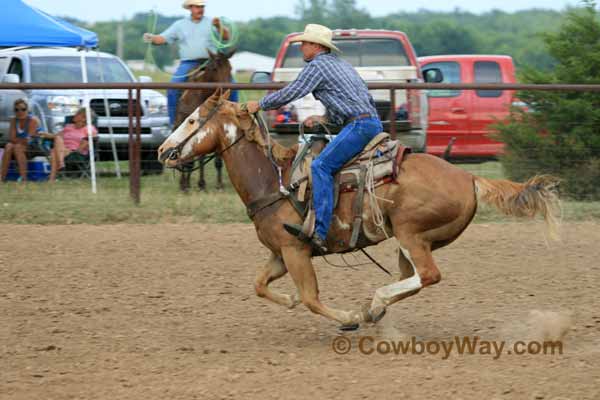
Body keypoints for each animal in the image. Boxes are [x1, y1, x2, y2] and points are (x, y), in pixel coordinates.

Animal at [157, 91, 560, 332]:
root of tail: (469, 176)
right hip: (412, 241)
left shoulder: (296, 250)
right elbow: (259, 285)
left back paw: (373, 303)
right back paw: (375, 308)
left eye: (192, 120)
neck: (275, 179)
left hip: (411, 232)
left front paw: (348, 318)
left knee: (427, 275)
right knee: (414, 277)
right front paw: (290, 300)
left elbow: (311, 298)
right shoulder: (280, 253)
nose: (162, 151)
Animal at [173, 50, 232, 192]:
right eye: (214, 68)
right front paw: (188, 185)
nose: (225, 88)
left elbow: (215, 159)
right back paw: (184, 183)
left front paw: (217, 184)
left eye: (230, 68)